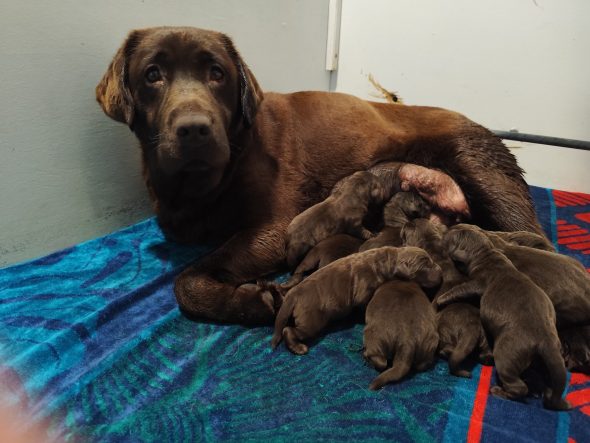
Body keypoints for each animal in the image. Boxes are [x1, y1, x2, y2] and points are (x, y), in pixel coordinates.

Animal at [98, 27, 544, 326]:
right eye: (152, 74)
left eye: (217, 73)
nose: (194, 129)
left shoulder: (275, 228)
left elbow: (185, 283)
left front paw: (256, 301)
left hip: (483, 173)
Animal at [270, 248, 442, 356]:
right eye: (426, 266)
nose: (440, 270)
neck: (388, 259)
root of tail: (293, 294)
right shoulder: (363, 291)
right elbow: (363, 303)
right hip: (312, 320)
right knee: (290, 330)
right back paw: (298, 348)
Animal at [438, 227, 572, 412]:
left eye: (452, 233)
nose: (446, 229)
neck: (486, 254)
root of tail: (546, 340)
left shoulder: (478, 282)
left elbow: (462, 288)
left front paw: (441, 299)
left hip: (507, 354)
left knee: (519, 386)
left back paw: (498, 390)